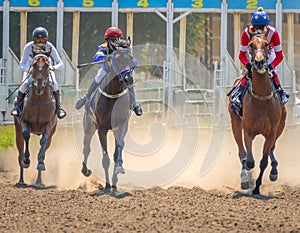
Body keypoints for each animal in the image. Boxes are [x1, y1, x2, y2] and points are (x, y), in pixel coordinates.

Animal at [13, 52, 57, 188]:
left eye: (47, 66)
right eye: (33, 65)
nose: (38, 86)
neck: (39, 101)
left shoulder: (48, 126)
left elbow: (43, 143)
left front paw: (41, 163)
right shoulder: (24, 123)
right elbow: (26, 135)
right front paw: (27, 160)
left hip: (52, 135)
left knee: (43, 149)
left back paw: (38, 181)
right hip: (17, 132)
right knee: (20, 154)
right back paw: (21, 180)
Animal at [81, 46, 135, 193]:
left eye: (131, 58)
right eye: (117, 59)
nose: (129, 79)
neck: (113, 95)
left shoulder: (122, 125)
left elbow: (117, 152)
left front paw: (116, 180)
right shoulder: (102, 128)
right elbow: (105, 159)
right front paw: (107, 186)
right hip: (89, 127)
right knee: (86, 149)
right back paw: (85, 170)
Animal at [229, 33, 288, 195]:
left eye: (267, 44)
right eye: (250, 44)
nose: (259, 62)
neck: (261, 99)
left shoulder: (272, 132)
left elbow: (263, 161)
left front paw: (257, 187)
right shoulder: (248, 130)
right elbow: (249, 160)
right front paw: (248, 178)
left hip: (281, 126)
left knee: (272, 149)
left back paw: (273, 171)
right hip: (235, 123)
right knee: (242, 153)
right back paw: (245, 178)